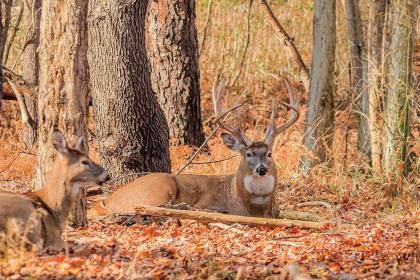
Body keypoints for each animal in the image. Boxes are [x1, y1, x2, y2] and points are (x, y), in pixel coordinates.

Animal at [88, 77, 298, 218]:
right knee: (141, 207)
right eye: (248, 154)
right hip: (161, 186)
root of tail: (109, 198)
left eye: (269, 153)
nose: (262, 169)